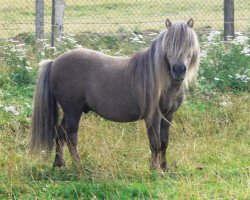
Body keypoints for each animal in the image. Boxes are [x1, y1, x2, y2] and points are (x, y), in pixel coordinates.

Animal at [30, 18, 200, 172]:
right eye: (169, 45)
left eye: (190, 45)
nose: (179, 70)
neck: (162, 81)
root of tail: (54, 62)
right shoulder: (153, 116)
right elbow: (155, 143)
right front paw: (155, 170)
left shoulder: (169, 115)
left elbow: (164, 142)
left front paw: (165, 168)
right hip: (73, 111)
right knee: (71, 136)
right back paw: (79, 167)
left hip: (70, 111)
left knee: (60, 133)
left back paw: (59, 163)